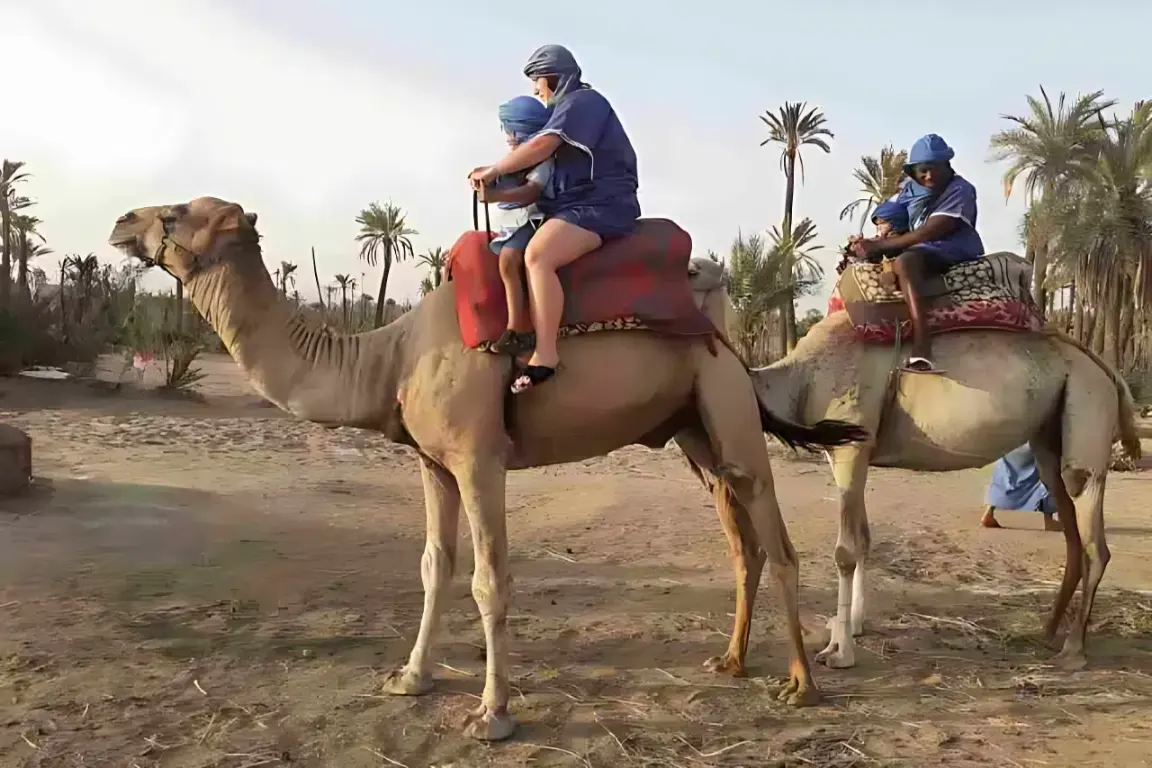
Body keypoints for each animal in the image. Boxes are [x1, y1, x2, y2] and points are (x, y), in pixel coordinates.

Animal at [108, 197, 869, 741]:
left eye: (176, 213)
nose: (119, 221)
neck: (389, 358)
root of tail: (728, 336)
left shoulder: (480, 460)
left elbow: (489, 580)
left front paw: (492, 714)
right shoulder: (433, 464)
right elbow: (433, 565)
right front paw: (410, 677)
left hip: (726, 401)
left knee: (776, 537)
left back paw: (802, 684)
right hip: (692, 431)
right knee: (741, 542)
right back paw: (731, 661)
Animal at [688, 257, 1142, 673]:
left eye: (692, 270)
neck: (799, 377)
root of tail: (1103, 366)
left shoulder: (851, 445)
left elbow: (845, 551)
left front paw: (839, 652)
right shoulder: (850, 450)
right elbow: (864, 539)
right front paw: (853, 627)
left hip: (1087, 404)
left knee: (1094, 538)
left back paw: (1074, 650)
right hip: (1051, 432)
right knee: (1070, 531)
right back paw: (1047, 632)